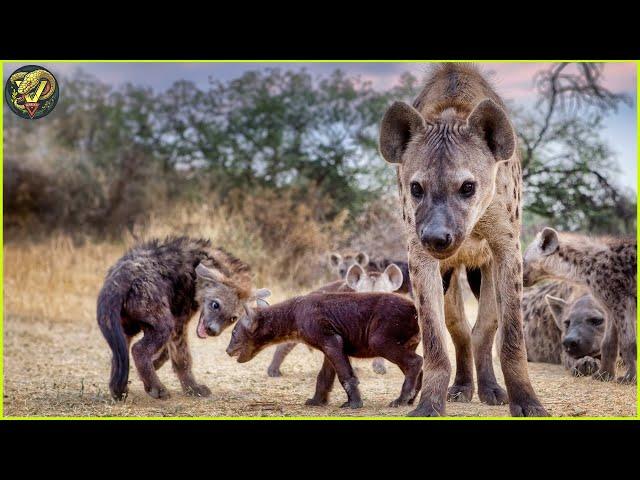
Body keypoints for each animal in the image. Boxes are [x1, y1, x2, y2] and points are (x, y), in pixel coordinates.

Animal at [228, 292, 422, 408]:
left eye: (234, 333)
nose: (227, 350)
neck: (295, 314)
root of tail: (414, 309)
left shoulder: (331, 342)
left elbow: (346, 376)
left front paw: (354, 404)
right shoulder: (330, 347)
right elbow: (323, 377)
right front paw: (316, 401)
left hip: (379, 341)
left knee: (416, 361)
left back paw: (401, 400)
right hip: (407, 344)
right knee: (418, 366)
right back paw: (411, 399)